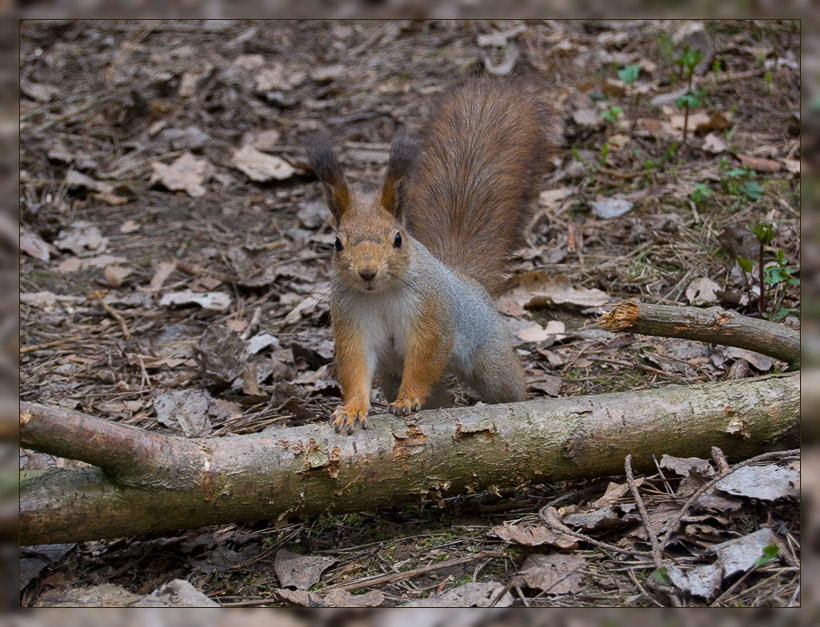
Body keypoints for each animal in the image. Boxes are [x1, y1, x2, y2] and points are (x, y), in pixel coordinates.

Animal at [308, 77, 552, 432]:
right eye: (337, 243)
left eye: (398, 238)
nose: (367, 272)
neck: (380, 294)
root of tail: (464, 277)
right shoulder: (352, 323)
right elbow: (355, 369)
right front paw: (351, 410)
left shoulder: (431, 317)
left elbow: (425, 360)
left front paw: (408, 399)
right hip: (392, 376)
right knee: (438, 399)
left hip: (491, 360)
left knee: (505, 384)